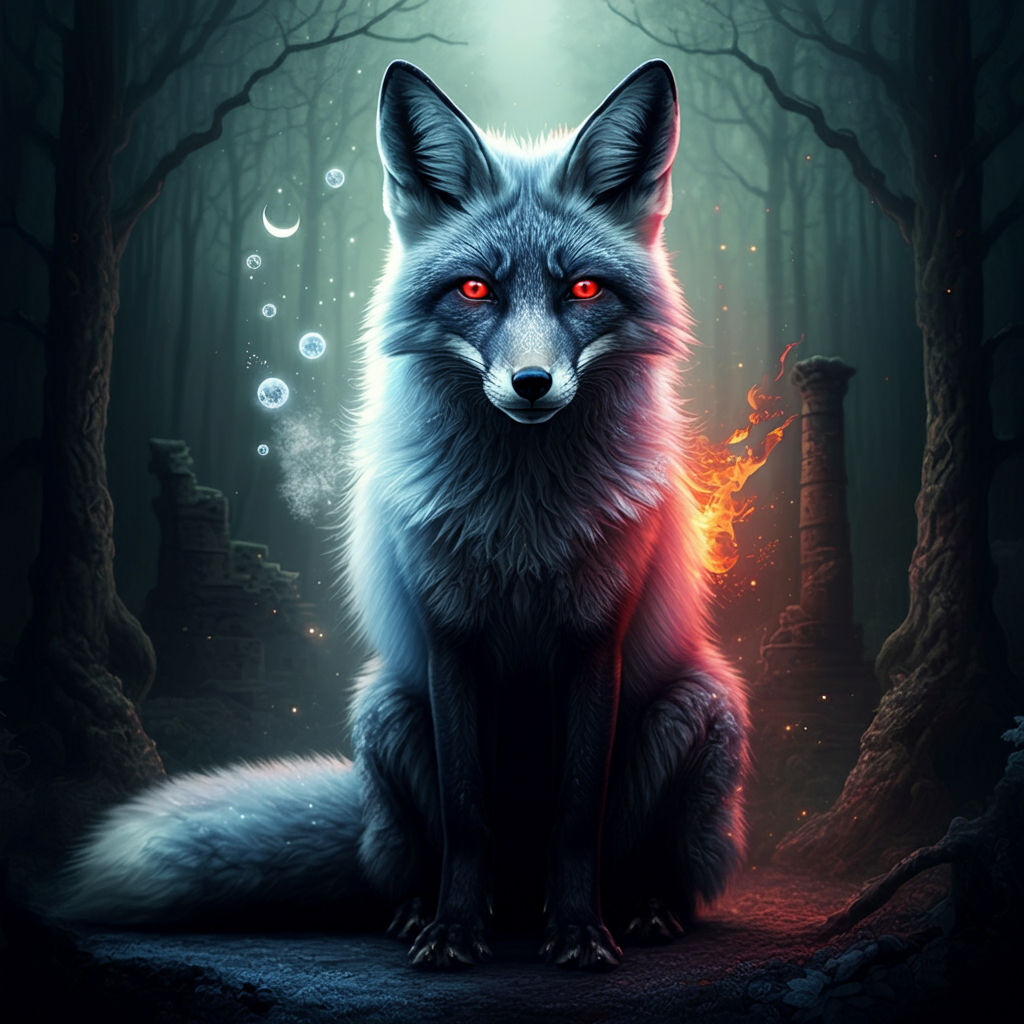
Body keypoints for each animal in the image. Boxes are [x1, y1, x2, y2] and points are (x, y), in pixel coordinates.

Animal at [56, 59, 749, 971]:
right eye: (475, 289)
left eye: (584, 289)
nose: (532, 385)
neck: (521, 524)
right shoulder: (446, 633)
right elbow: (466, 814)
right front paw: (454, 932)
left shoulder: (598, 637)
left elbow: (575, 818)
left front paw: (578, 933)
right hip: (384, 707)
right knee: (419, 857)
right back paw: (423, 911)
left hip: (699, 704)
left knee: (648, 865)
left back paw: (645, 909)